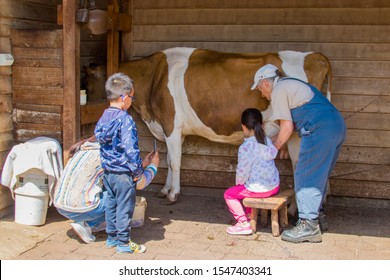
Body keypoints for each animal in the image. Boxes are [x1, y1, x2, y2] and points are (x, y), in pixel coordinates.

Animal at [87, 47, 330, 205]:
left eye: (86, 81)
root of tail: (314, 56)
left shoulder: (171, 125)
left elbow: (174, 162)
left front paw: (173, 194)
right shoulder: (172, 130)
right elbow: (169, 159)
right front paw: (165, 190)